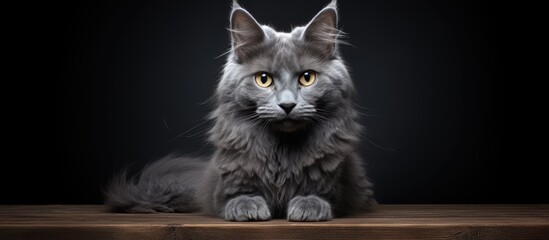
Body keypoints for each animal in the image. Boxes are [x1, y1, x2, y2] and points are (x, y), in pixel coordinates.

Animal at [105, 0, 374, 221]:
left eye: (307, 78)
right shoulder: (226, 184)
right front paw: (248, 208)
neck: (282, 153)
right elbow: (238, 196)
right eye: (263, 79)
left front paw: (308, 205)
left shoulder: (340, 185)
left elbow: (322, 194)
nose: (287, 105)